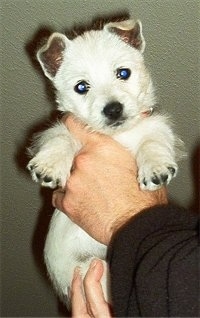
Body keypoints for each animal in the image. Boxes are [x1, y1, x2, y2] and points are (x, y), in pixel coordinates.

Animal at [27, 18, 184, 306]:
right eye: (81, 87)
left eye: (123, 73)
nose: (113, 110)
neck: (117, 136)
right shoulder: (62, 129)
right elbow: (60, 138)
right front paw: (50, 166)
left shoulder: (155, 126)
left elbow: (153, 142)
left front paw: (156, 167)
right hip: (90, 268)